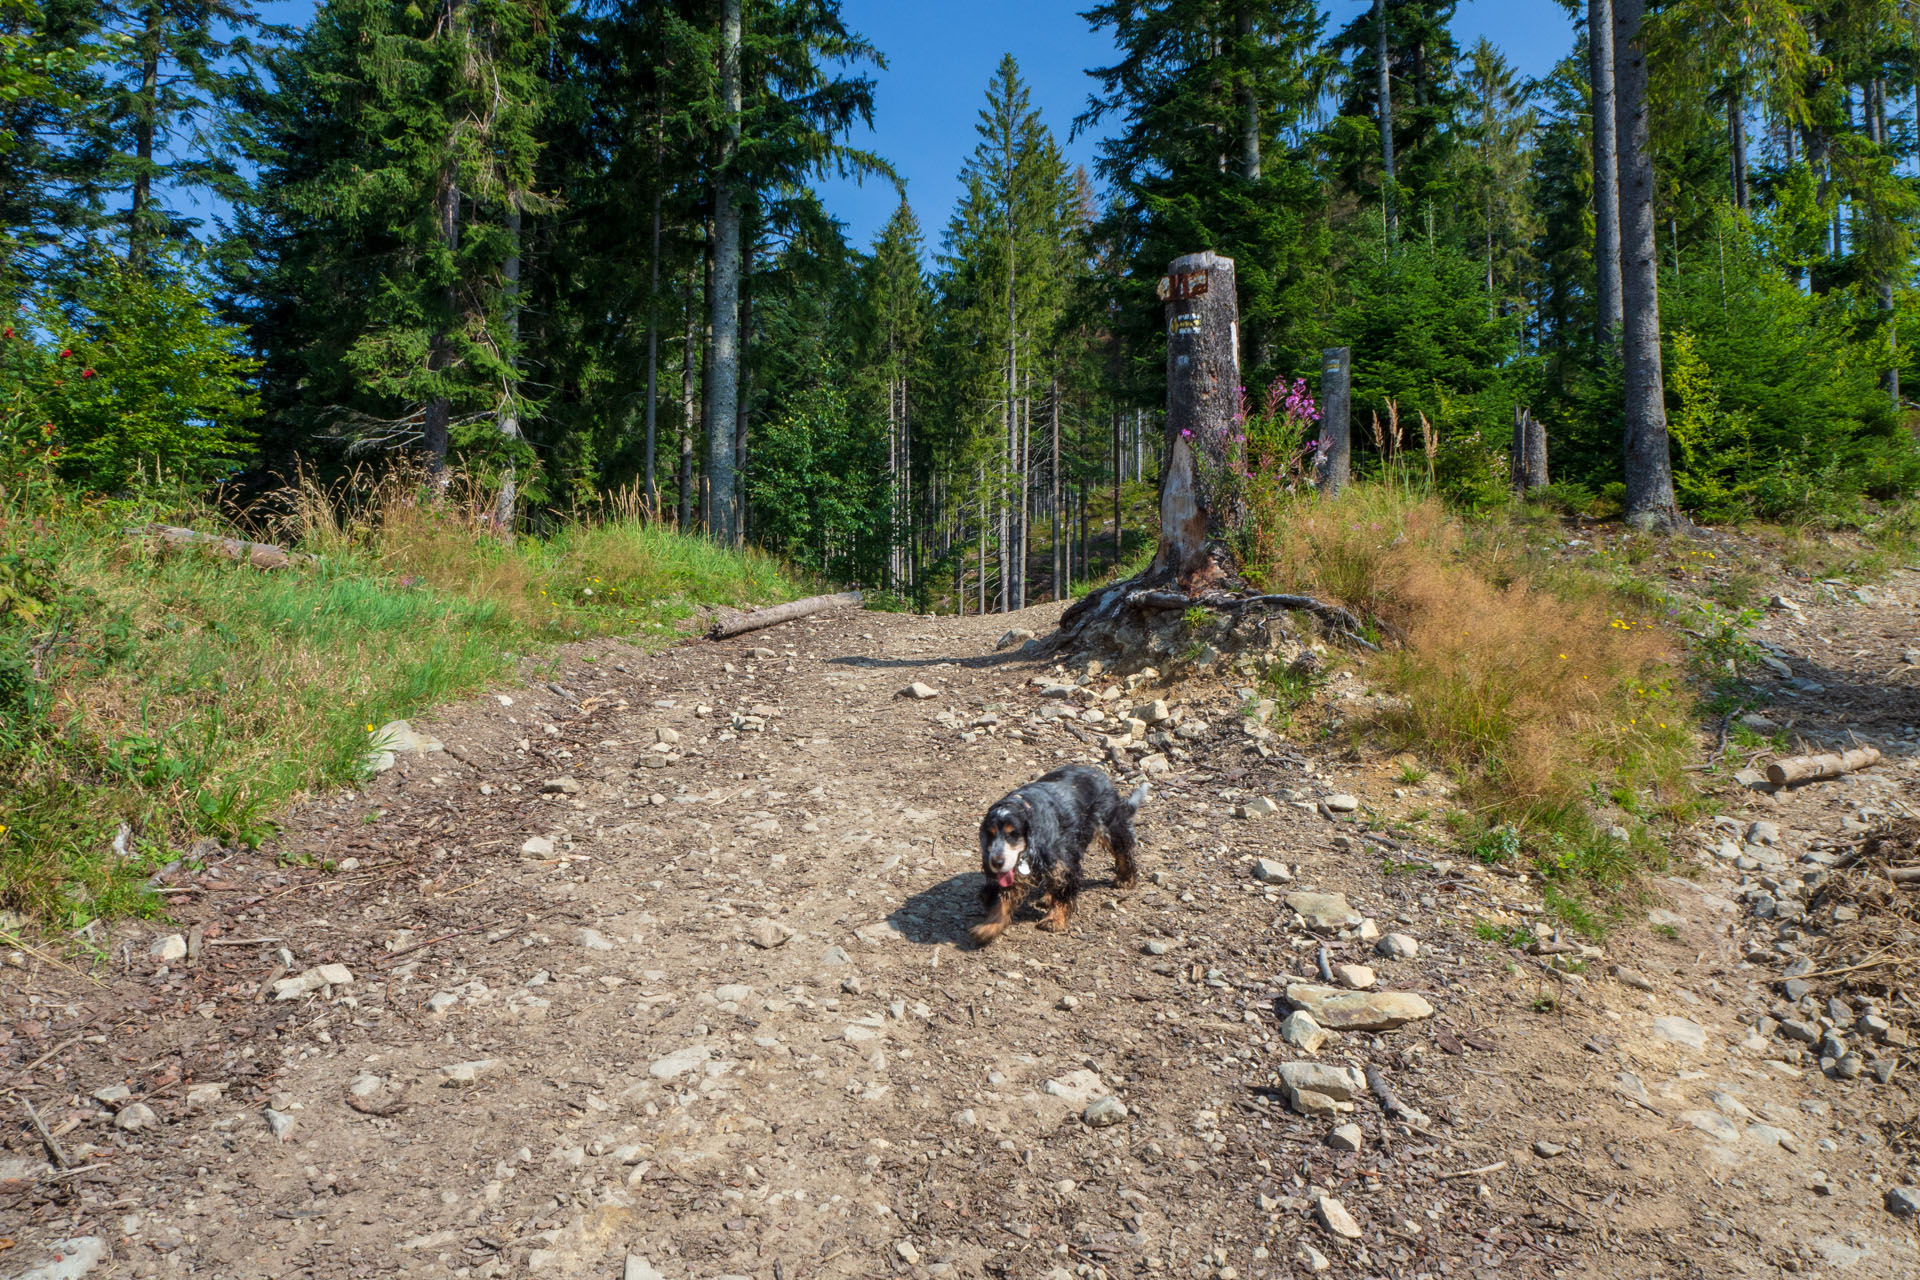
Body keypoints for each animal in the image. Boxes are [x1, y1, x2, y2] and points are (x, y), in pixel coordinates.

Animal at [967, 767, 1144, 948]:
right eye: (990, 834)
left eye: (1012, 834)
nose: (996, 862)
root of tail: (1096, 771)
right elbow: (1002, 899)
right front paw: (988, 927)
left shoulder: (1063, 862)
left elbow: (1063, 891)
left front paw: (1054, 919)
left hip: (1109, 824)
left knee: (1123, 850)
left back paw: (1126, 879)